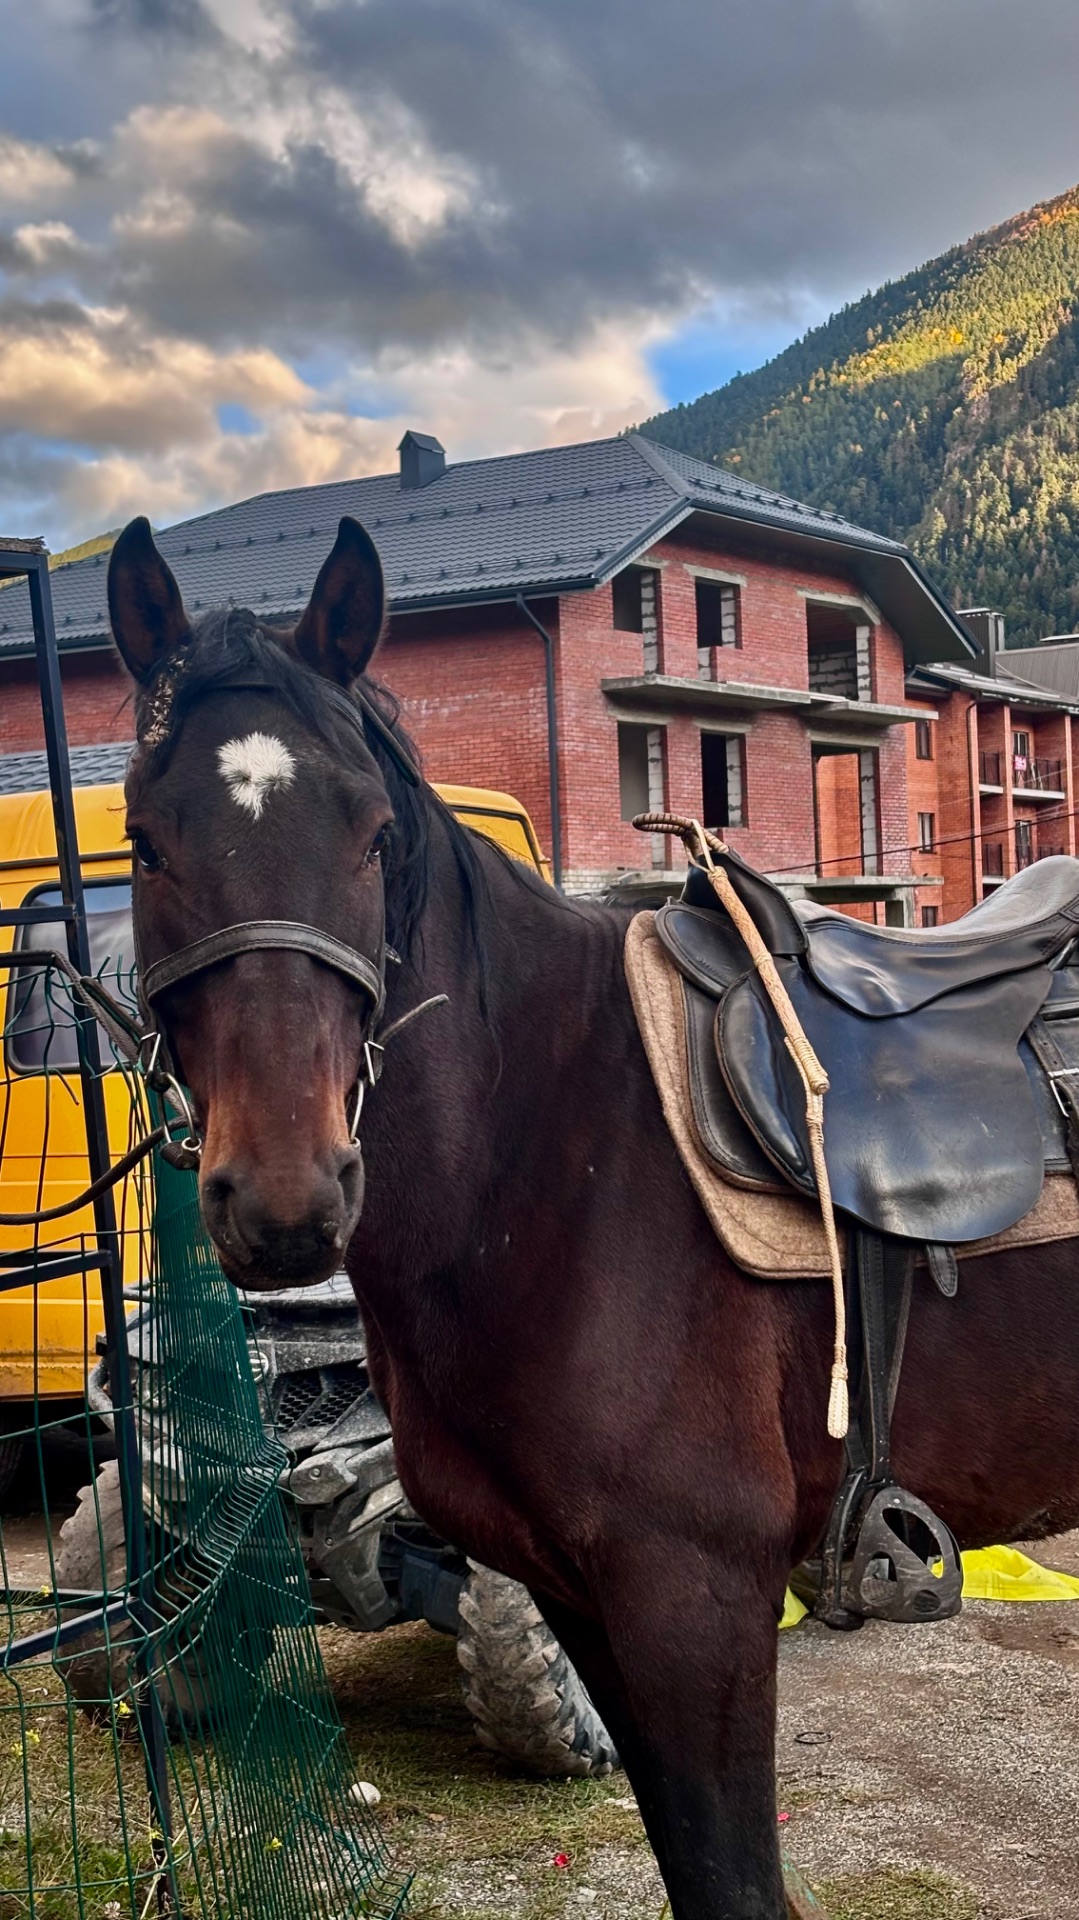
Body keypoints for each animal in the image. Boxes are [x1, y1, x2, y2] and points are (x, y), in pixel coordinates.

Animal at [107, 511, 1079, 1919]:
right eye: (142, 839)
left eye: (372, 835)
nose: (286, 1198)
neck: (544, 1155)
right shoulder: (574, 1591)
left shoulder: (692, 1596)